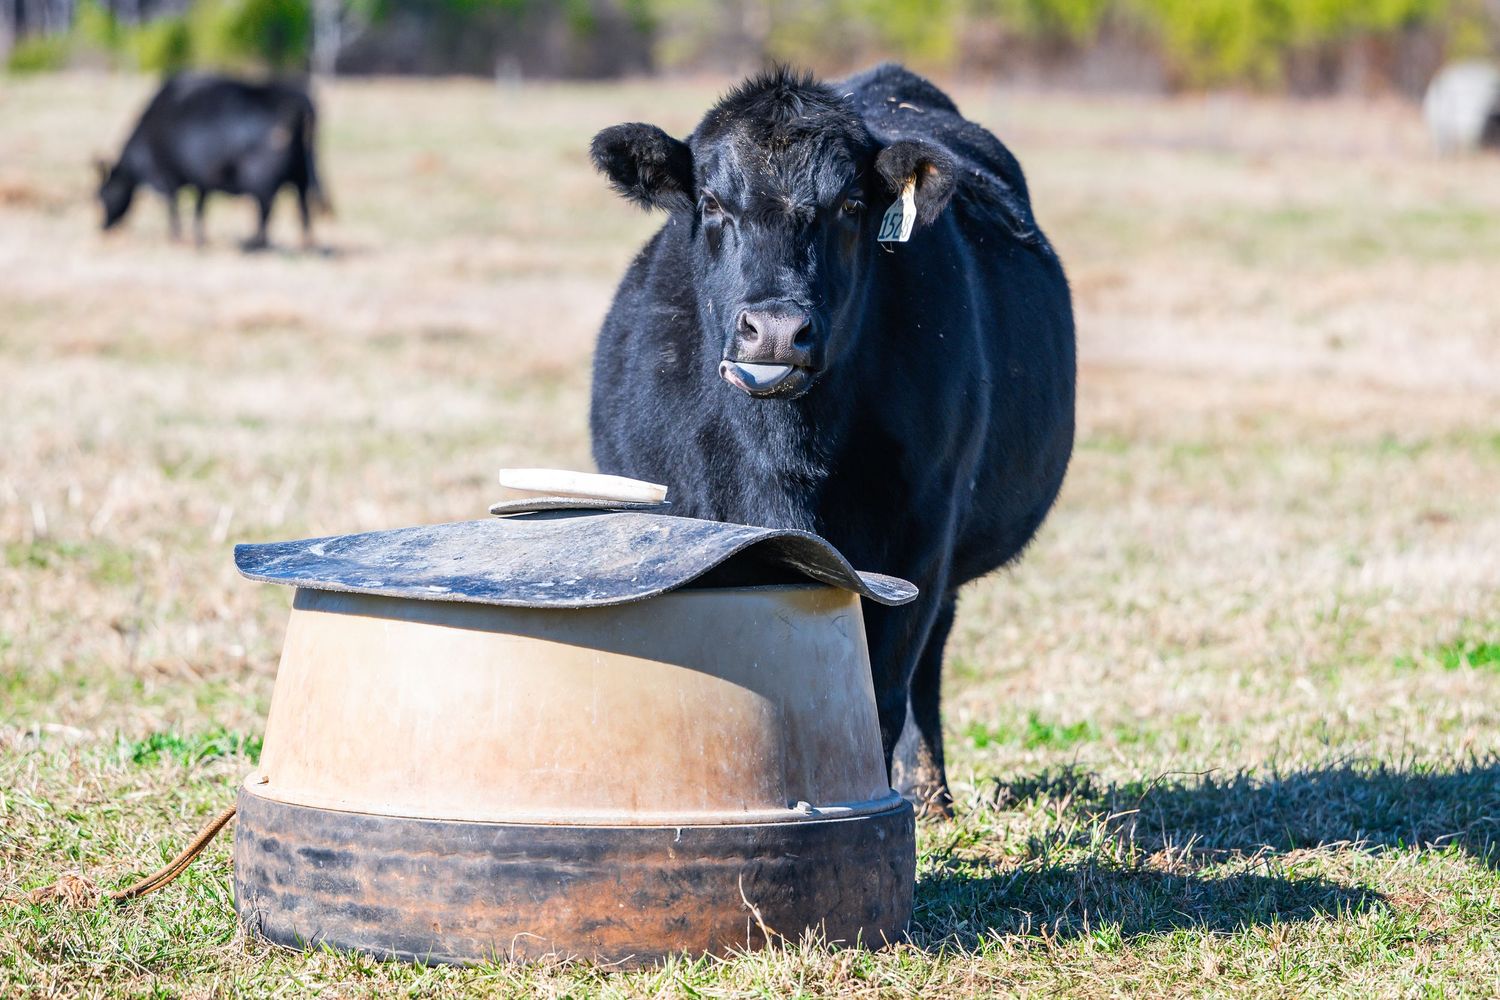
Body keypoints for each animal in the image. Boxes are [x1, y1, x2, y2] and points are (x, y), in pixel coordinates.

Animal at [96, 73, 330, 251]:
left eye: (103, 194)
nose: (103, 227)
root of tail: (298, 101)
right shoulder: (202, 179)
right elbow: (200, 206)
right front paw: (199, 238)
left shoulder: (168, 176)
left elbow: (175, 206)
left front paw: (178, 237)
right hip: (300, 175)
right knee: (303, 205)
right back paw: (305, 243)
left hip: (261, 176)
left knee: (266, 207)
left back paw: (255, 244)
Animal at [588, 65, 1076, 814]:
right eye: (712, 202)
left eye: (850, 205)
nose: (776, 330)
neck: (785, 460)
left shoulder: (919, 536)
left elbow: (880, 694)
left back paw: (928, 792)